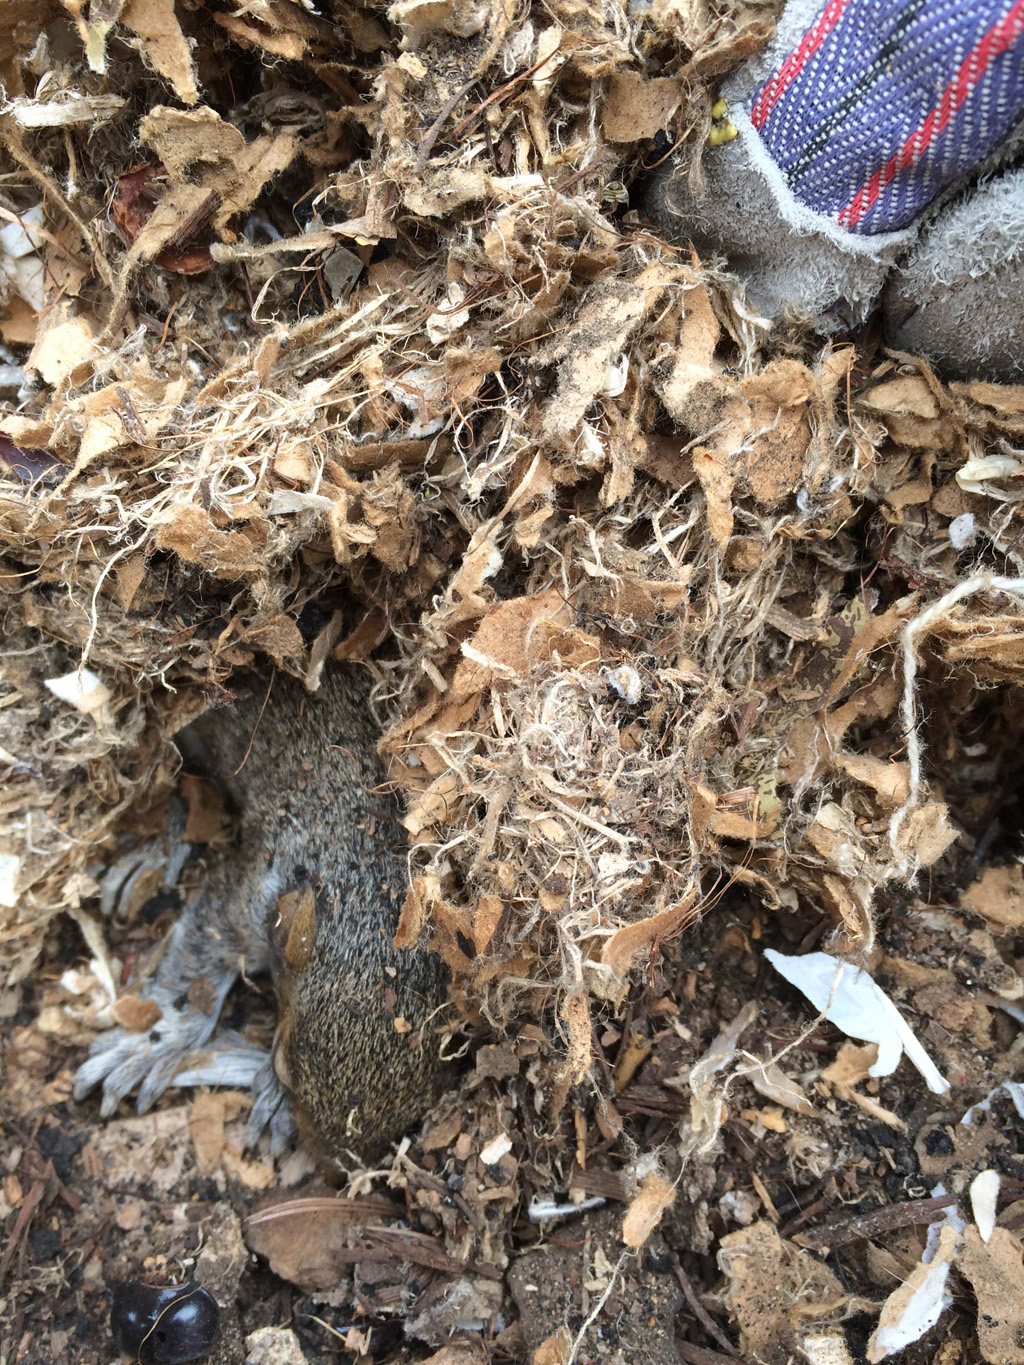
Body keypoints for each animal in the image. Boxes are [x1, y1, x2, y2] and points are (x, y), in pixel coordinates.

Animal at [74, 666, 449, 1165]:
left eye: (412, 1117)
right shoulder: (241, 898)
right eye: (281, 1065)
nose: (331, 1170)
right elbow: (194, 973)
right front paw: (157, 1041)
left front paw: (269, 1102)